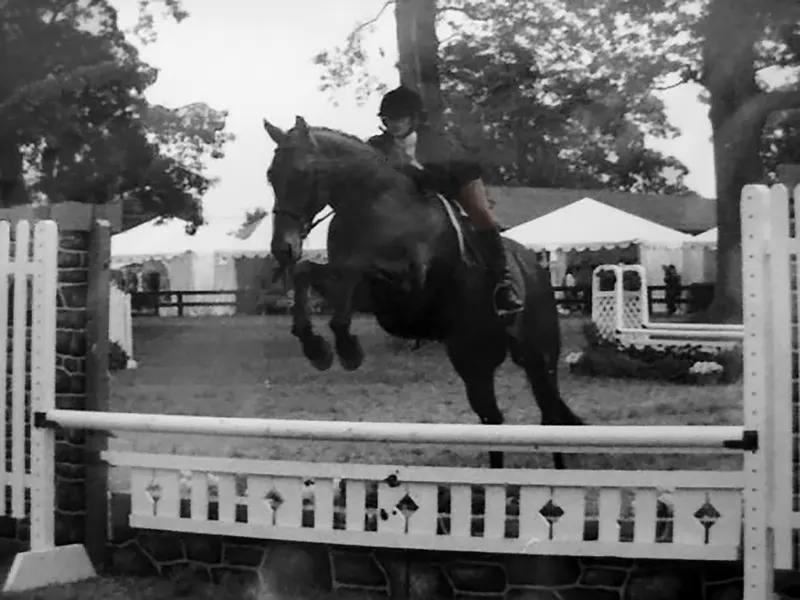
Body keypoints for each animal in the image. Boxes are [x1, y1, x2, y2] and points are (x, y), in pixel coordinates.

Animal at [266, 113, 584, 468]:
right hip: (472, 358)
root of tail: (536, 271)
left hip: (538, 357)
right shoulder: (366, 294)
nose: (282, 249)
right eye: (271, 176)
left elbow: (352, 271)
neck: (372, 204)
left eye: (305, 174)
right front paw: (316, 348)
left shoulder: (406, 288)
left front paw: (346, 349)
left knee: (551, 415)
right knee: (494, 419)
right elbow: (308, 273)